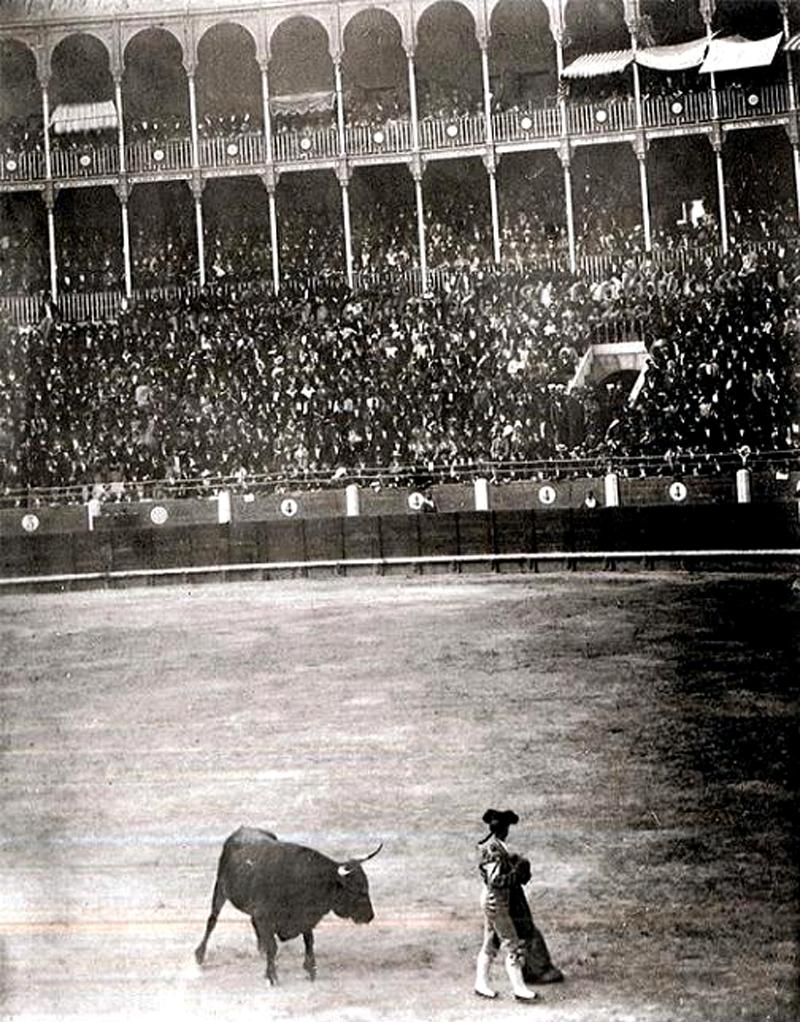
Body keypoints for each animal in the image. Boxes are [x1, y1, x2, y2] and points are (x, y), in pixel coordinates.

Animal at [194, 825, 382, 985]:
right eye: (356, 889)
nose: (370, 916)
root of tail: (242, 830)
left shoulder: (304, 917)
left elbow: (309, 941)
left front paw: (311, 969)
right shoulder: (265, 916)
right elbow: (273, 946)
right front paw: (272, 976)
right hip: (220, 888)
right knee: (212, 920)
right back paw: (200, 955)